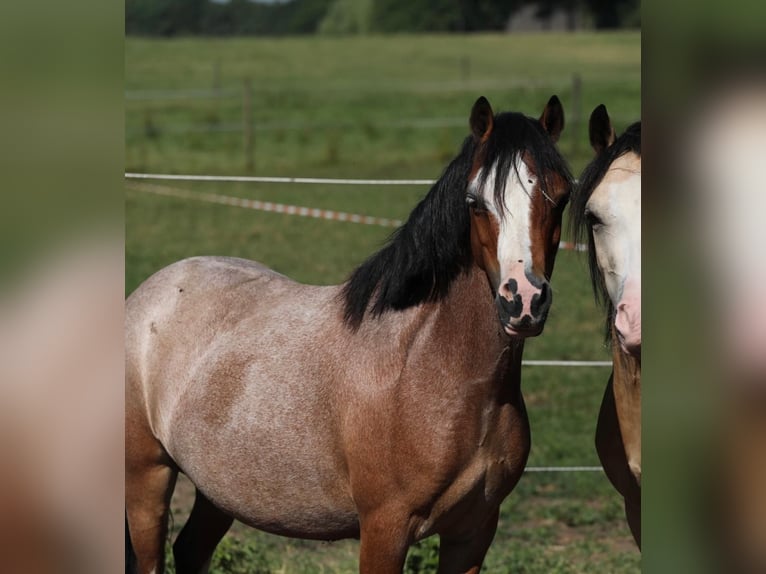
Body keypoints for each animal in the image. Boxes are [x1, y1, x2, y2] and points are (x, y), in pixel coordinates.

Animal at [126, 95, 572, 574]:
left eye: (562, 196)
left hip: (219, 488)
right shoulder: (385, 528)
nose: (523, 300)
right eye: (474, 201)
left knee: (190, 549)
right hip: (147, 478)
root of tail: (148, 293)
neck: (431, 367)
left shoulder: (473, 532)